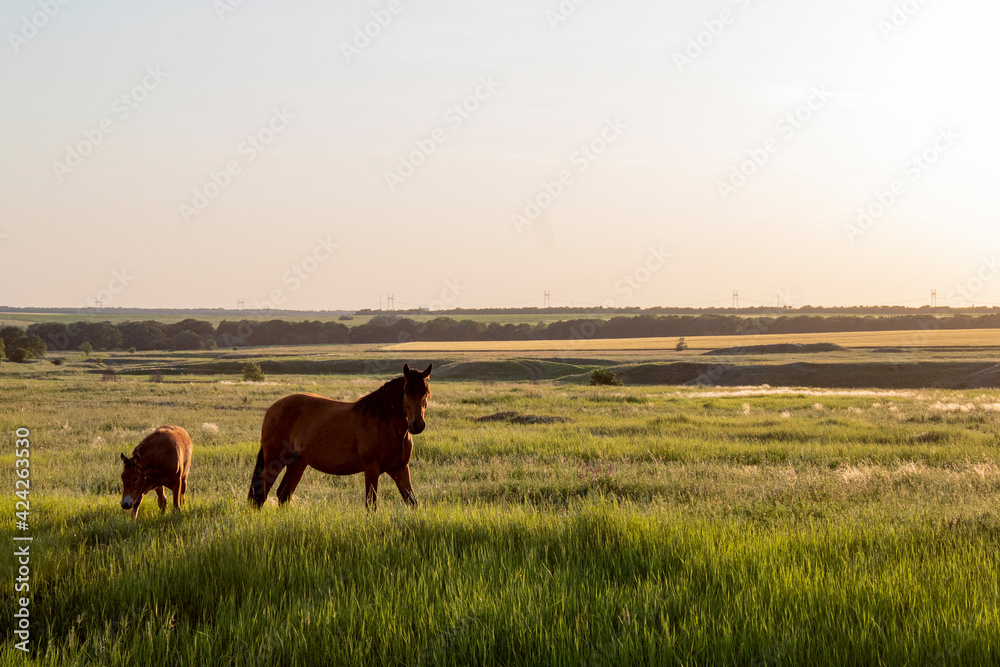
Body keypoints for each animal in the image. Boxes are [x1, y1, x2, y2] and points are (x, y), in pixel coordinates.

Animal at [248, 363, 432, 510]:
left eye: (427, 392)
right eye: (406, 391)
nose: (417, 425)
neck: (387, 426)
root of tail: (273, 408)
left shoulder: (401, 470)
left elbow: (412, 502)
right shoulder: (372, 469)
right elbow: (371, 504)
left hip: (297, 463)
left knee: (284, 494)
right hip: (274, 461)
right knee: (261, 493)